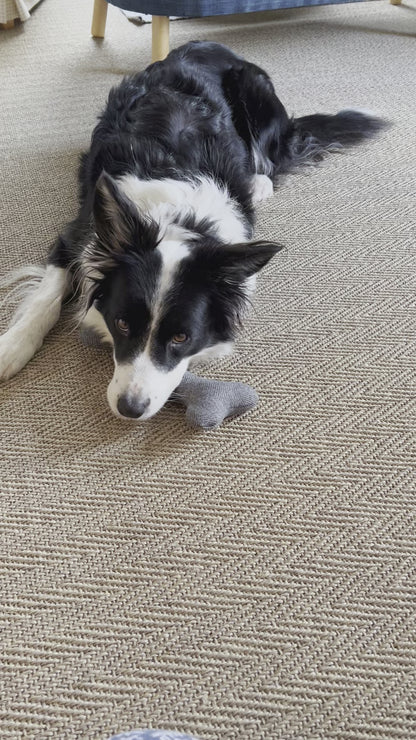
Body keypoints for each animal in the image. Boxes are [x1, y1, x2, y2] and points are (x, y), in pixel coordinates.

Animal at [0, 42, 386, 422]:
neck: (174, 219)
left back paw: (260, 182)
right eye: (122, 323)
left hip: (256, 96)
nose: (130, 409)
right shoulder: (77, 235)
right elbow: (45, 298)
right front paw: (12, 347)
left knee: (270, 158)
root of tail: (215, 46)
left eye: (181, 338)